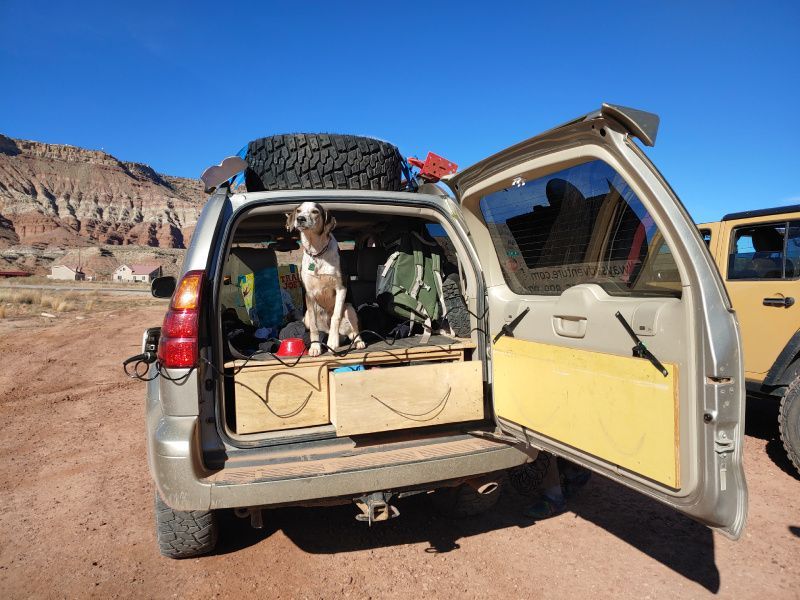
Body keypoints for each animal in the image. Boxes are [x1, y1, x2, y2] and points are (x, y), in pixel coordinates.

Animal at [284, 200, 366, 356]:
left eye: (315, 211)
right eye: (298, 211)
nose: (300, 219)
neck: (317, 253)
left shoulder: (341, 289)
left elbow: (335, 317)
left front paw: (332, 342)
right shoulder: (309, 295)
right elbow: (314, 327)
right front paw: (315, 347)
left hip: (350, 308)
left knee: (354, 331)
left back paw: (358, 342)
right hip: (306, 317)